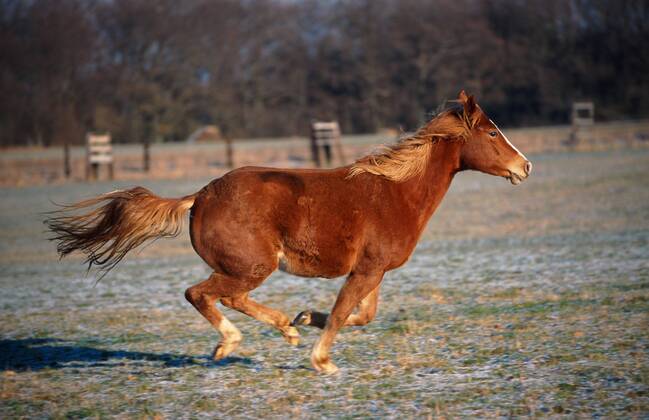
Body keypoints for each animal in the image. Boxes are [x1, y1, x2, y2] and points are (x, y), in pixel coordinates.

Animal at [46, 90, 532, 374]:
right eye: (492, 132)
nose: (525, 166)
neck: (395, 191)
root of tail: (200, 196)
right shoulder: (367, 270)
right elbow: (342, 313)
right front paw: (323, 361)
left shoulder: (373, 270)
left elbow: (361, 315)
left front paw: (304, 318)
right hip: (251, 265)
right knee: (201, 293)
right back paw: (230, 343)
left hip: (247, 268)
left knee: (227, 297)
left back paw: (286, 328)